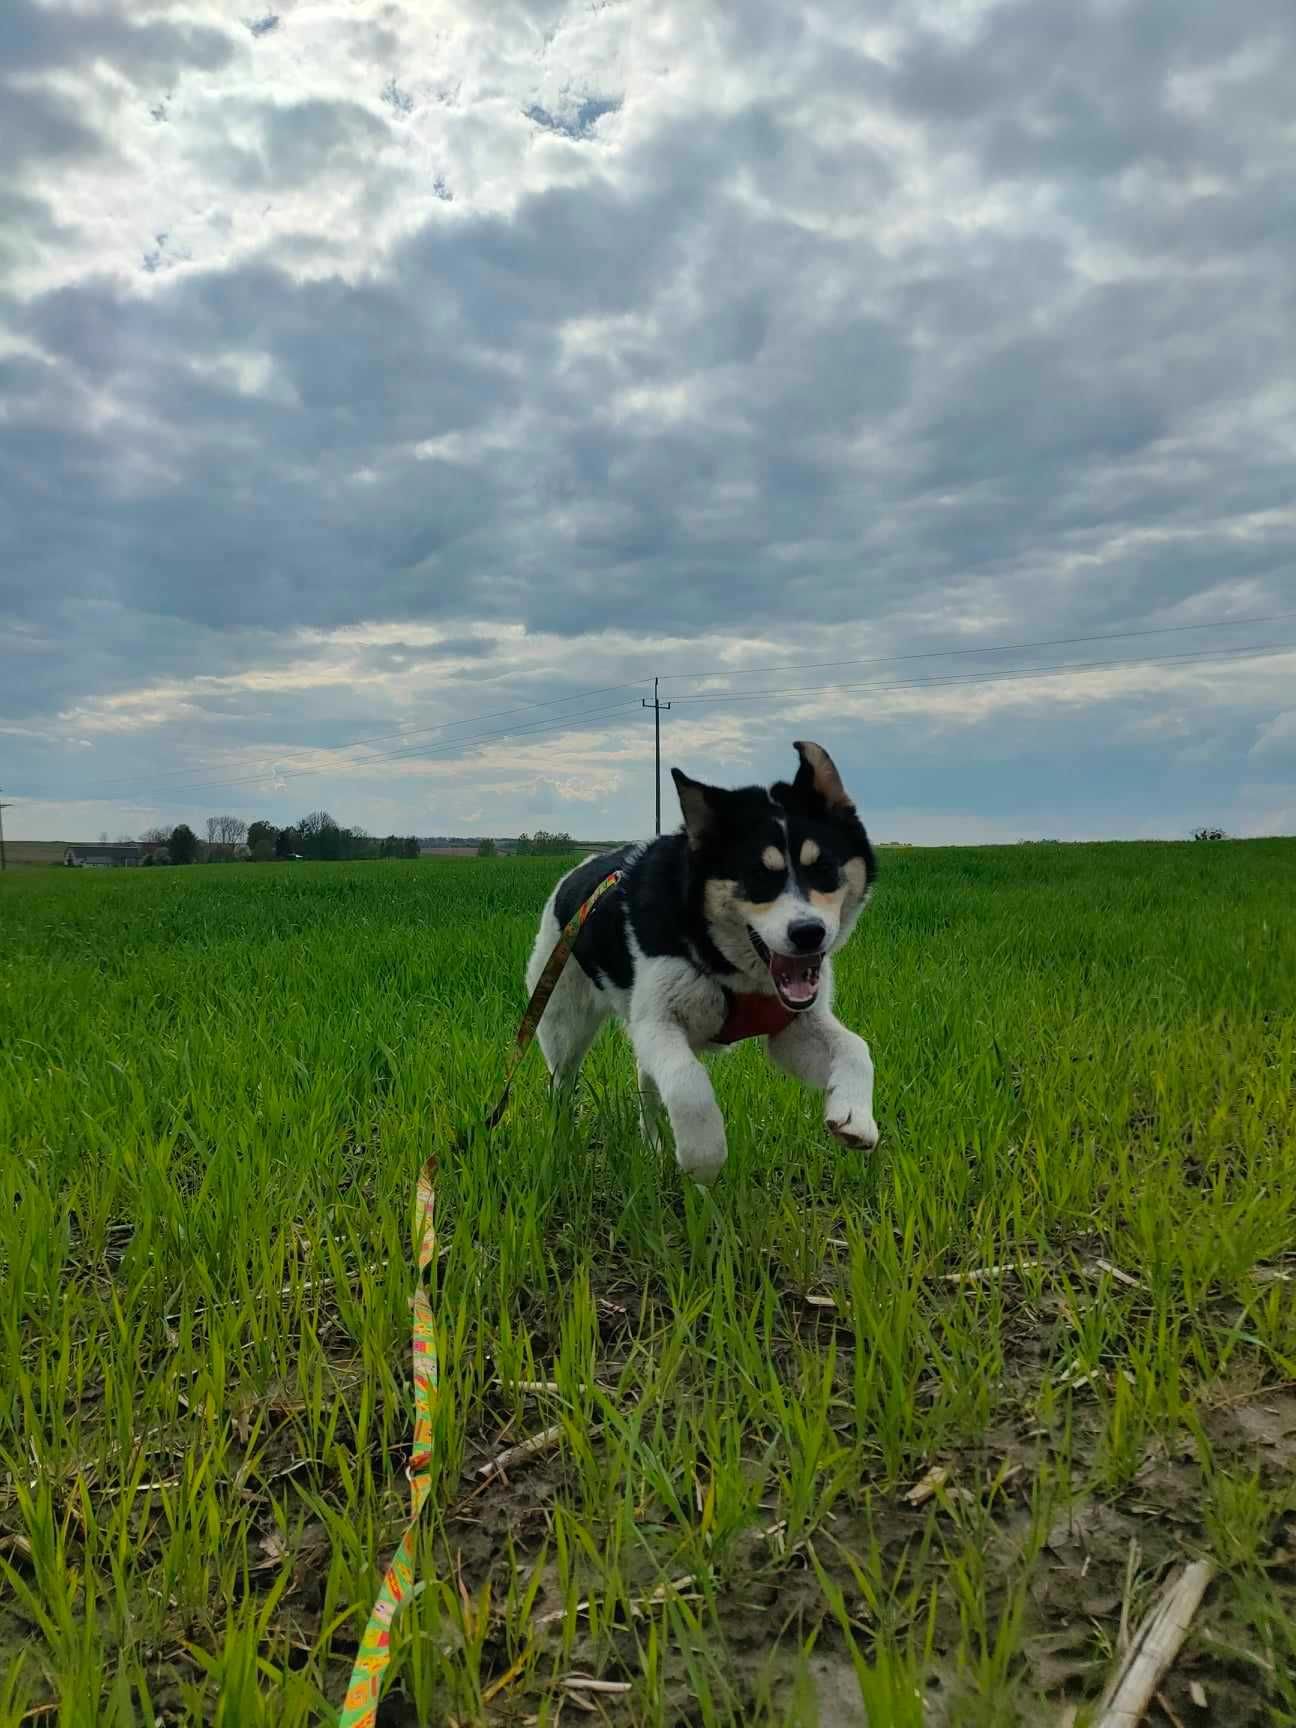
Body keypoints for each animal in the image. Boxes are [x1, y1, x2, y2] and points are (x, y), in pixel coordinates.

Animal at [528, 736, 884, 1181]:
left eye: (824, 868)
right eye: (756, 876)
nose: (808, 934)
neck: (729, 964)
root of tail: (576, 872)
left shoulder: (792, 1028)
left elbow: (855, 1046)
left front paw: (855, 1115)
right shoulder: (657, 1022)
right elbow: (687, 1080)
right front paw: (703, 1155)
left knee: (645, 1082)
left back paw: (653, 1146)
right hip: (563, 1020)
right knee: (561, 1081)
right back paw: (560, 1144)